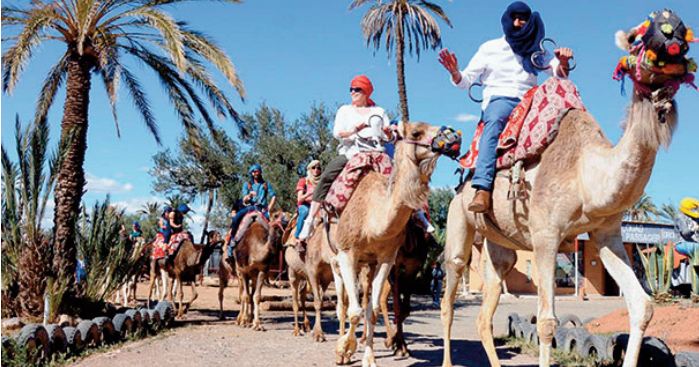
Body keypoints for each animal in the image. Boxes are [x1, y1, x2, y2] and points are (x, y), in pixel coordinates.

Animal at [330, 122, 462, 366]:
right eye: (416, 133)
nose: (454, 136)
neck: (373, 218)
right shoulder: (348, 253)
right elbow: (355, 311)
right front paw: (344, 349)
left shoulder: (389, 259)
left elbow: (374, 309)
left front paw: (372, 356)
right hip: (335, 260)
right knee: (343, 303)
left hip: (369, 265)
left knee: (366, 300)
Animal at [440, 54, 688, 367]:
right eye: (642, 59)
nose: (665, 89)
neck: (585, 173)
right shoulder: (545, 235)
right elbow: (546, 323)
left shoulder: (606, 234)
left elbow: (642, 306)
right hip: (459, 221)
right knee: (449, 293)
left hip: (498, 247)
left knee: (487, 308)